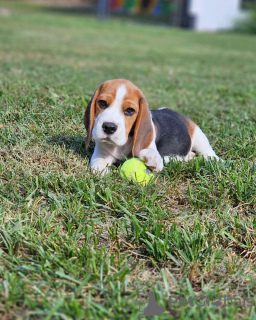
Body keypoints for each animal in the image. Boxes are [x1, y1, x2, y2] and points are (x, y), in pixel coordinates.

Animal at [83, 80, 218, 175]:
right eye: (102, 103)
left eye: (130, 110)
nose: (109, 127)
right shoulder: (101, 152)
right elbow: (98, 161)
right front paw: (102, 171)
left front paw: (153, 157)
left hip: (199, 135)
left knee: (209, 153)